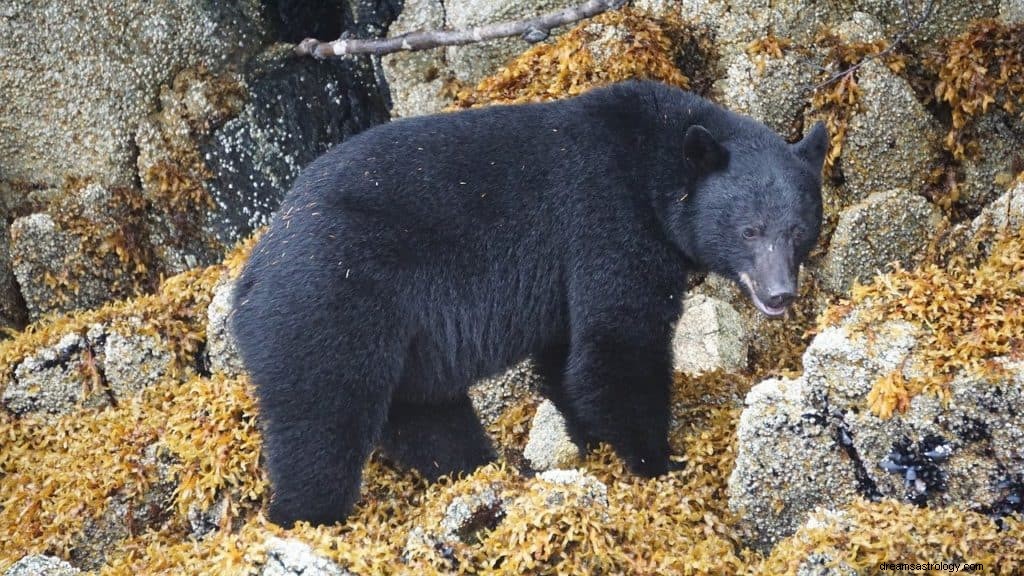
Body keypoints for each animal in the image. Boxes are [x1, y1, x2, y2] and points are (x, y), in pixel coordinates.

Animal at [228, 80, 827, 524]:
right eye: (750, 230)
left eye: (799, 230)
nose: (780, 292)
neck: (650, 163)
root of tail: (250, 278)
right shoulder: (607, 220)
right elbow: (617, 343)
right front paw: (660, 460)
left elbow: (568, 360)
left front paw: (591, 445)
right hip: (327, 306)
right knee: (322, 425)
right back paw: (305, 516)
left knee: (427, 414)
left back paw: (484, 474)